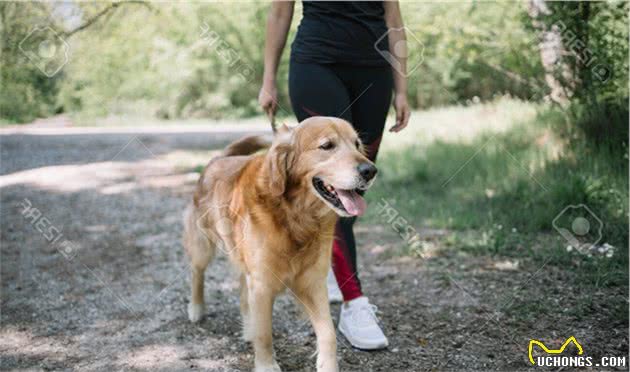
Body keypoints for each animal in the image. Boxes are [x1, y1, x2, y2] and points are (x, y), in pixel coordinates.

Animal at [183, 116, 380, 372]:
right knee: (197, 273)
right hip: (202, 246)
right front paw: (266, 364)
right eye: (327, 146)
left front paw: (327, 365)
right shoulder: (262, 283)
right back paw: (197, 309)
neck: (296, 216)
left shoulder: (312, 283)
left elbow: (328, 334)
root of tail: (218, 159)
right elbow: (265, 333)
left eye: (357, 144)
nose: (371, 170)